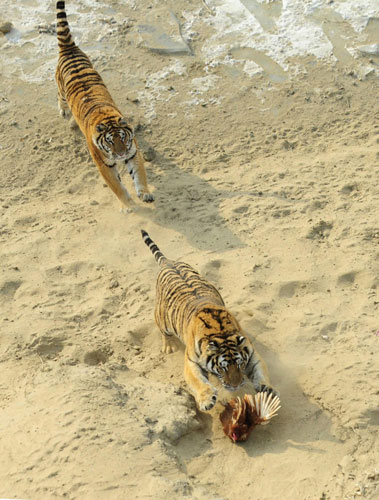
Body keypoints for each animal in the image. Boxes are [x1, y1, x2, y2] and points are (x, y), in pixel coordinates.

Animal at [53, 1, 154, 209]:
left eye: (123, 138)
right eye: (109, 142)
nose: (121, 154)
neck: (107, 118)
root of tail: (69, 48)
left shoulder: (133, 152)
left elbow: (140, 174)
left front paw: (145, 193)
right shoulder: (104, 165)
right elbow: (117, 187)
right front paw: (130, 206)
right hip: (61, 90)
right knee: (60, 98)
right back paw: (65, 113)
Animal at [141, 229, 278, 410]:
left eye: (240, 364)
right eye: (222, 368)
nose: (236, 385)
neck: (221, 332)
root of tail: (168, 262)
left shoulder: (252, 353)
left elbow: (261, 370)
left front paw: (267, 387)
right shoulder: (191, 361)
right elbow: (197, 381)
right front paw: (206, 400)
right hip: (162, 319)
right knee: (163, 331)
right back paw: (169, 346)